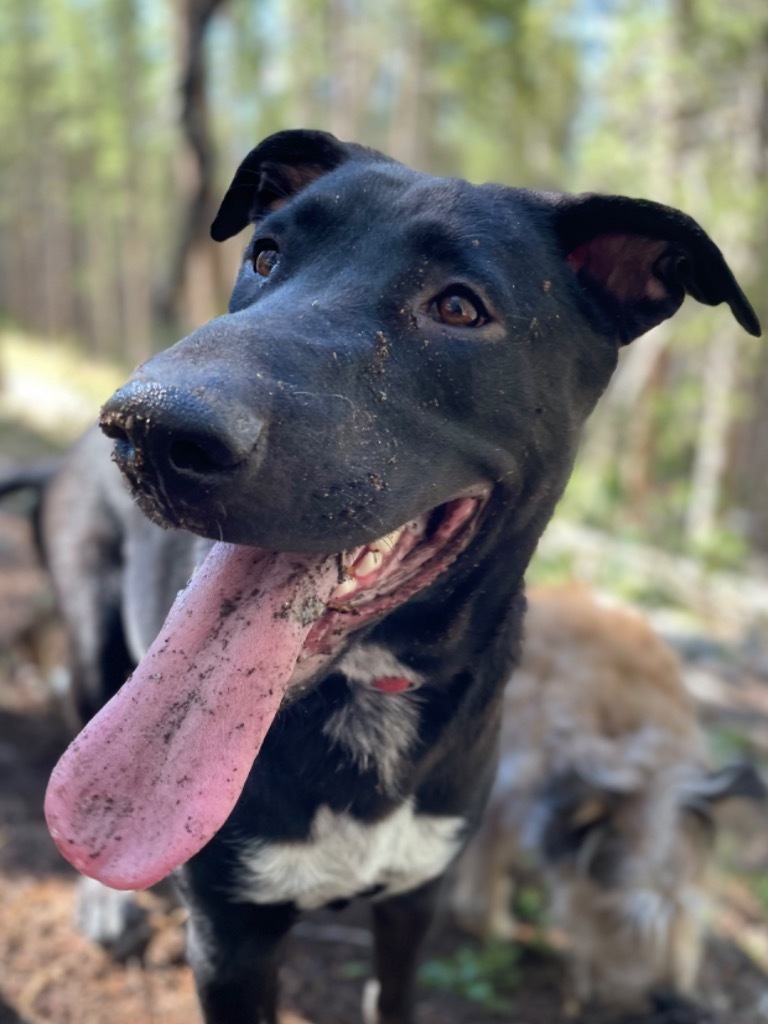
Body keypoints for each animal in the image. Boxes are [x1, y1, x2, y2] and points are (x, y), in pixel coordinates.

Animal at [450, 585, 765, 1007]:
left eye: (681, 909)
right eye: (626, 919)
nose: (669, 1000)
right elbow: (488, 858)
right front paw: (488, 921)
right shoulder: (501, 788)